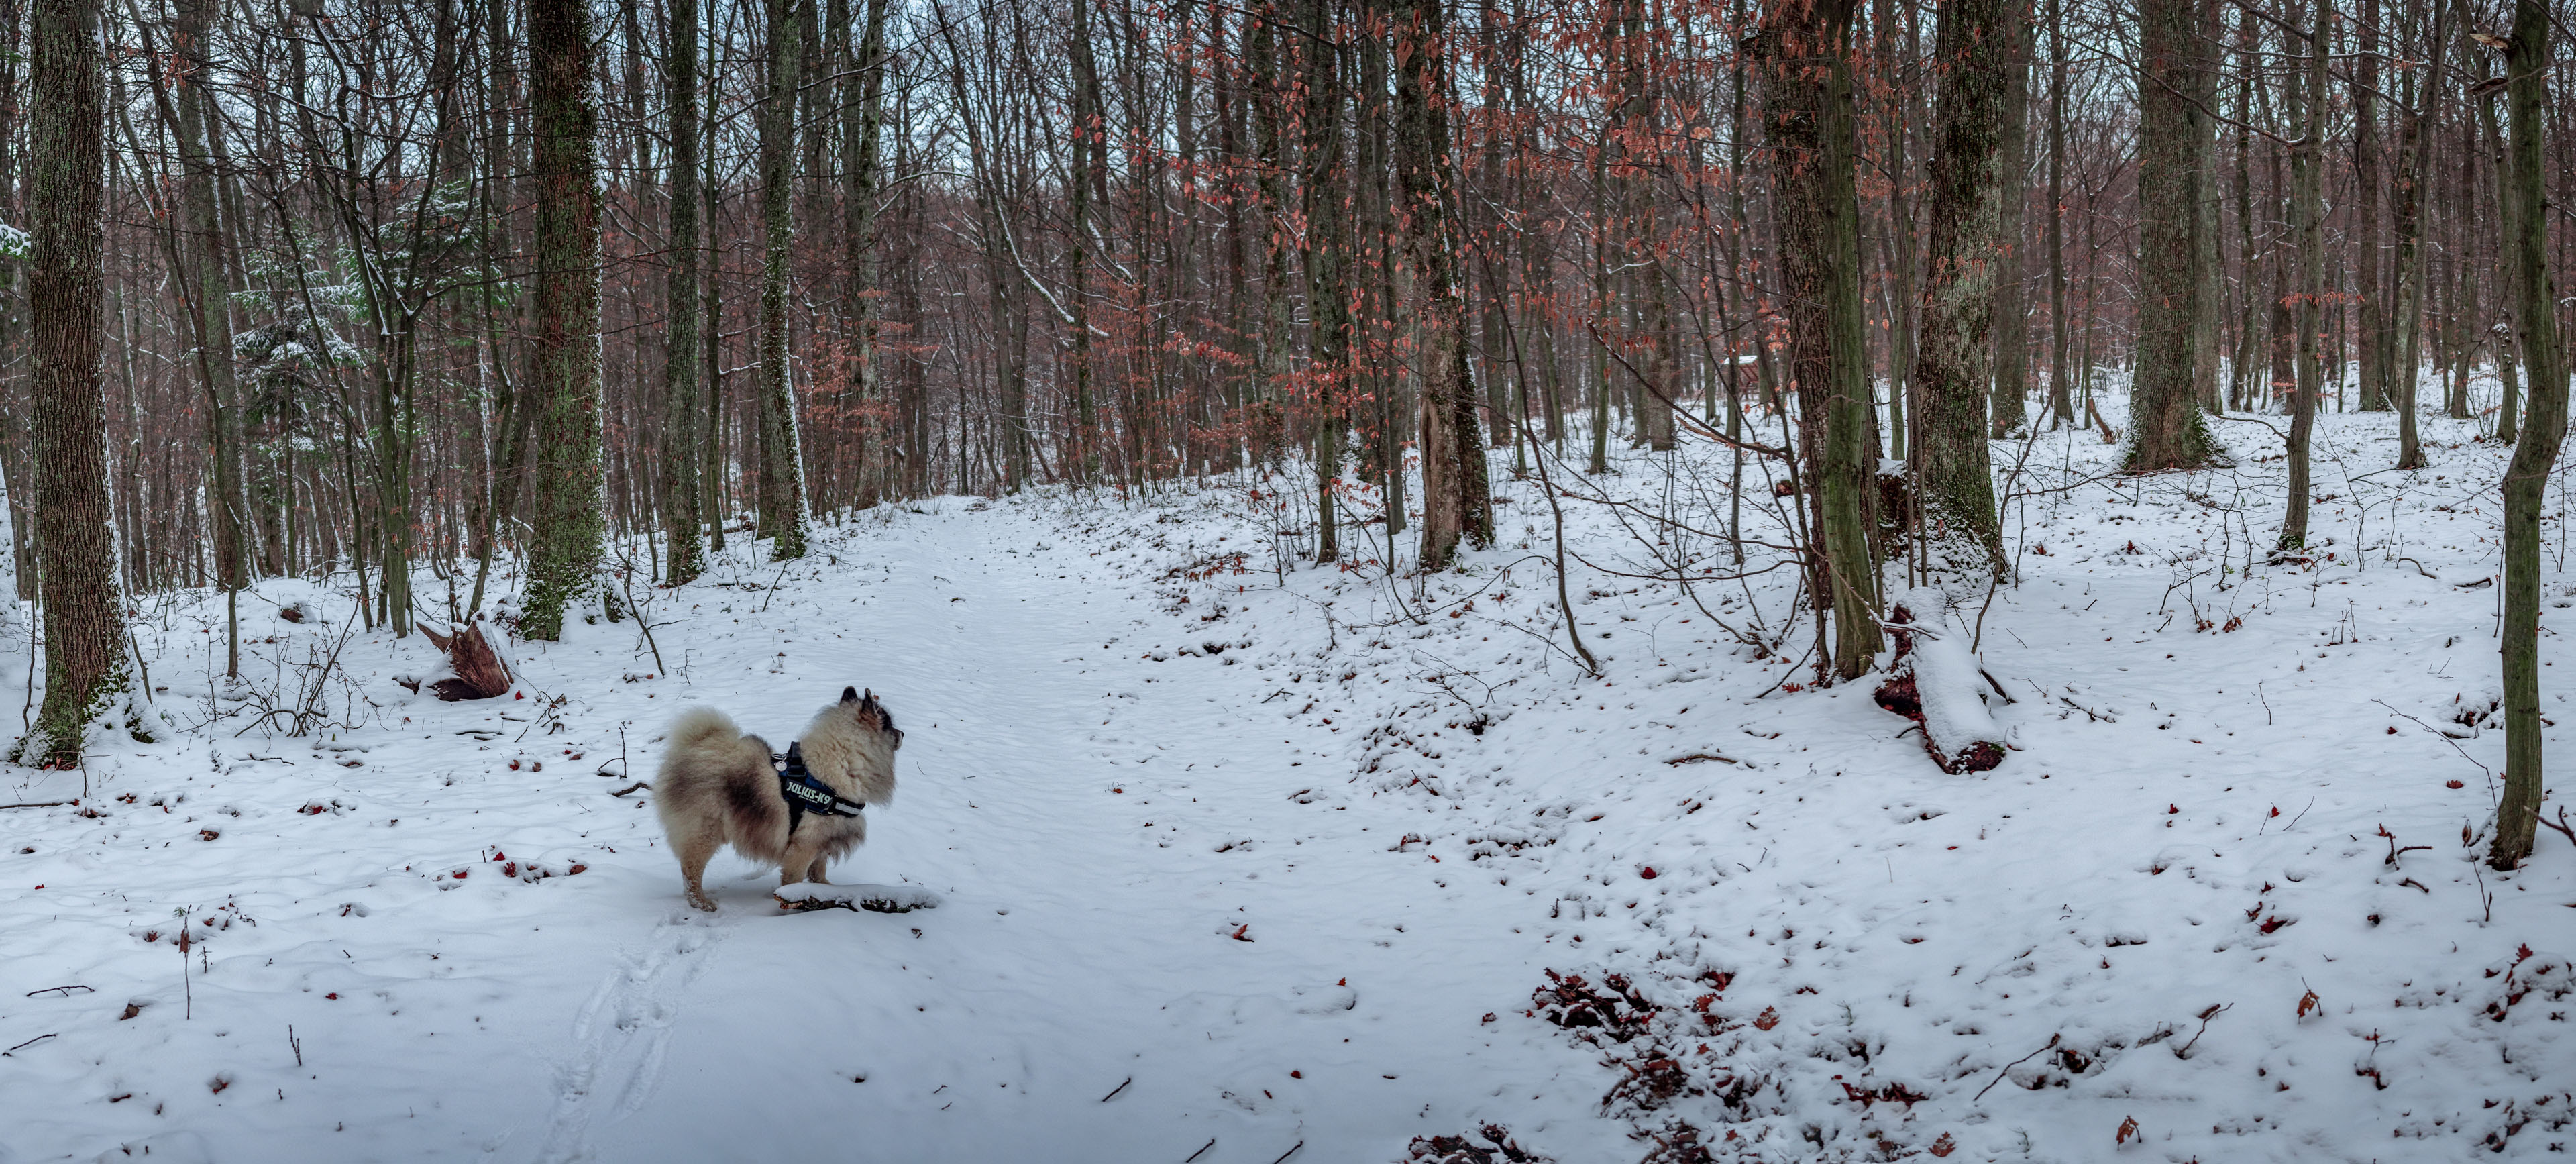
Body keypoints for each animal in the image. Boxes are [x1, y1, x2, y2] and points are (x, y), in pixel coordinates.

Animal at [654, 685, 906, 911]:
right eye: (890, 725)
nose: (903, 733)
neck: (837, 767)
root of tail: (693, 748)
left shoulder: (821, 841)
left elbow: (819, 872)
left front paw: (827, 893)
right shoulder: (803, 847)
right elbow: (794, 881)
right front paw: (796, 904)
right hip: (704, 834)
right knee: (691, 872)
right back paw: (701, 903)